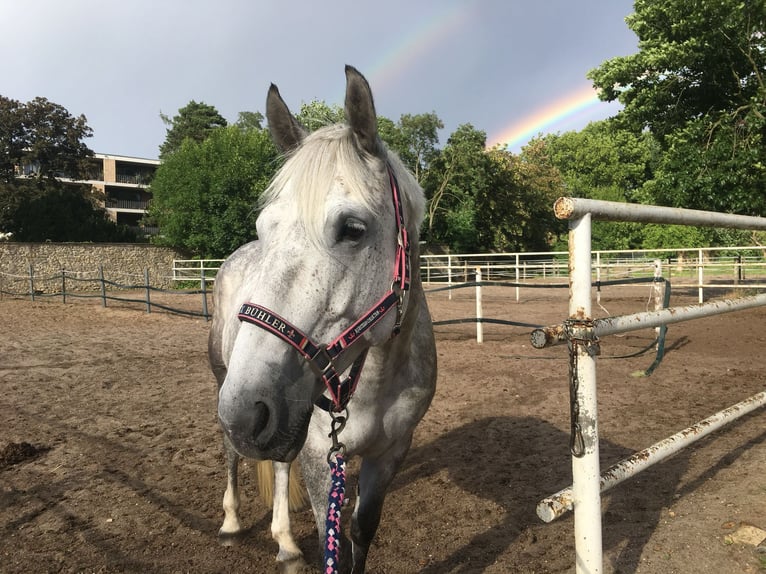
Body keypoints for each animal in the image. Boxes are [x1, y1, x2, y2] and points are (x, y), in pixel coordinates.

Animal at [208, 65, 437, 573]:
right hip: (226, 382)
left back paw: (285, 542)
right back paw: (233, 523)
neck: (373, 380)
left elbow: (358, 533)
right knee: (233, 454)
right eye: (265, 229)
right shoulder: (318, 455)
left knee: (275, 460)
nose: (245, 412)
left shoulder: (390, 453)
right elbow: (329, 533)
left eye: (352, 229)